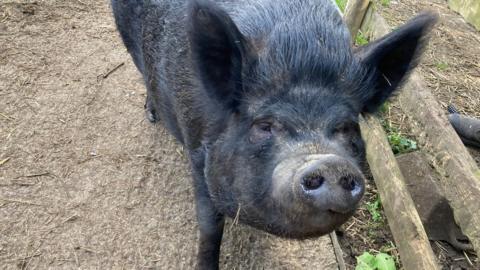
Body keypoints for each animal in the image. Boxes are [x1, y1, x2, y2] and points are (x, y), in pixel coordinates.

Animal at [111, 0, 436, 268]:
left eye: (346, 127)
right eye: (264, 125)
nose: (330, 163)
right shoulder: (198, 155)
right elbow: (210, 227)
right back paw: (151, 113)